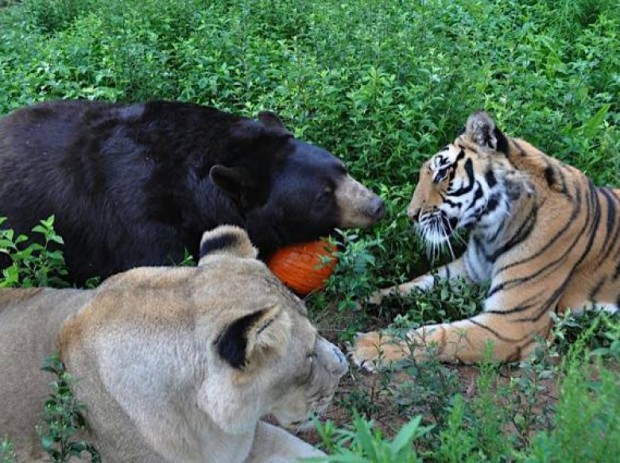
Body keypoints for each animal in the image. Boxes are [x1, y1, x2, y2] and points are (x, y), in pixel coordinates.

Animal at [352, 110, 620, 368]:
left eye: (442, 173)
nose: (411, 215)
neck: (490, 232)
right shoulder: (468, 271)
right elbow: (416, 283)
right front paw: (365, 297)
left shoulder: (513, 323)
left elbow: (440, 335)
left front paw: (370, 346)